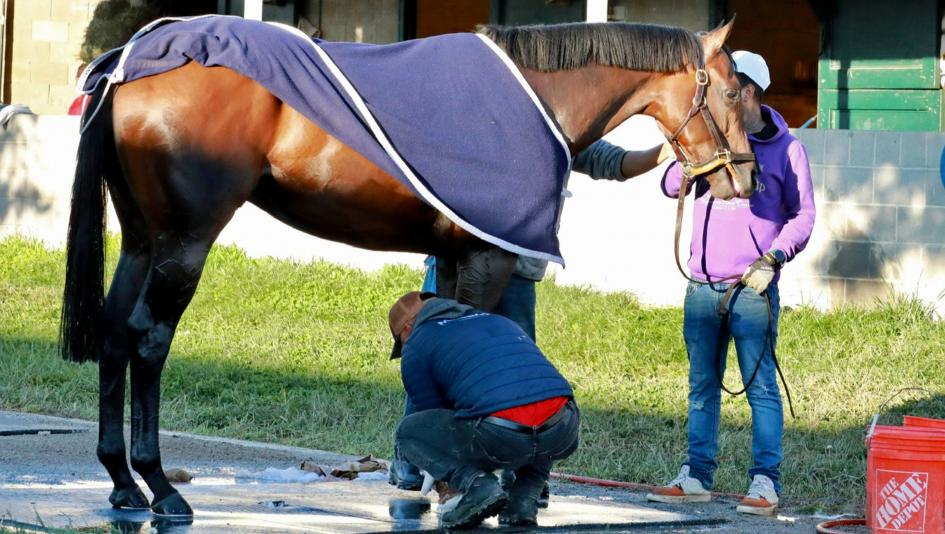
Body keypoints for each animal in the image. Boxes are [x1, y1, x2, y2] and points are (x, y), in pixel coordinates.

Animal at [59, 18, 752, 516]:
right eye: (731, 91)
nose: (744, 178)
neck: (538, 95)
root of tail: (133, 55)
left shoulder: (451, 255)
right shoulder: (487, 257)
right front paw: (478, 486)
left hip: (142, 241)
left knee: (116, 334)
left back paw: (122, 481)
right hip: (185, 241)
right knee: (149, 340)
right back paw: (160, 486)